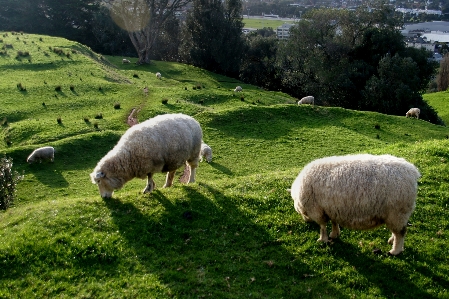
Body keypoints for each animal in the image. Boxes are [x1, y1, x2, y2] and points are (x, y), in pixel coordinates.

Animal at [290, 155, 420, 255]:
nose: (306, 221)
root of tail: (413, 172)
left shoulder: (317, 210)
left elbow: (322, 226)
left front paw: (323, 239)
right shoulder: (332, 208)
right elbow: (334, 222)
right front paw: (334, 234)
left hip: (398, 212)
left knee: (401, 233)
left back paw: (395, 251)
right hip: (395, 214)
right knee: (397, 231)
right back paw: (391, 241)